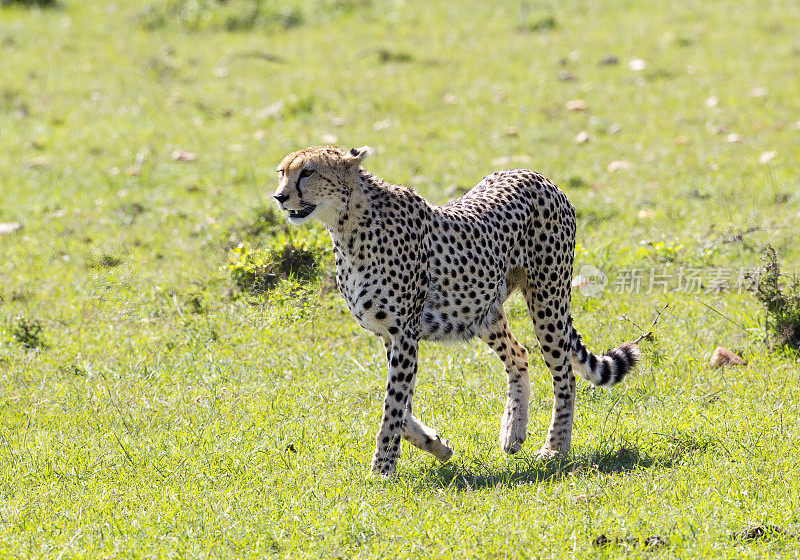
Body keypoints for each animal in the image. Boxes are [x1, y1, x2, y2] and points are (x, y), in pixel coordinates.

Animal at [272, 145, 640, 476]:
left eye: (308, 172)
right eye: (282, 172)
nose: (279, 197)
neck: (348, 224)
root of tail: (535, 175)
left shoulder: (404, 334)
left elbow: (393, 406)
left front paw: (382, 469)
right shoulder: (390, 335)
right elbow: (401, 406)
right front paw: (436, 444)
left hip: (548, 299)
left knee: (564, 374)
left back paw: (555, 447)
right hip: (483, 309)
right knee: (519, 355)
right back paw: (513, 433)